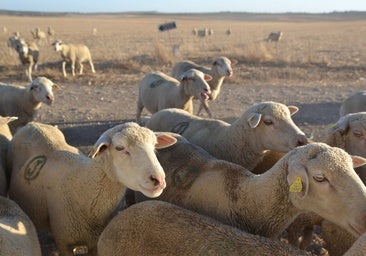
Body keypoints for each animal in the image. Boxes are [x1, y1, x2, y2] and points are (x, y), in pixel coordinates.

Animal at [6, 122, 176, 256]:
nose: (158, 179)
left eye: (154, 146)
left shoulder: (95, 243)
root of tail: (32, 124)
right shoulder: (65, 243)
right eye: (120, 148)